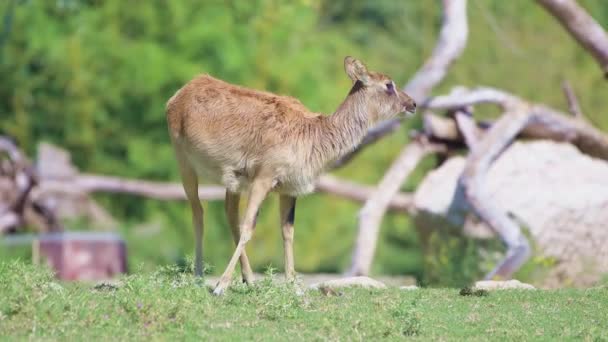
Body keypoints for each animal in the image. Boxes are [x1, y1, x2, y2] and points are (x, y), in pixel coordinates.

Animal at [165, 56, 418, 294]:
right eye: (388, 84)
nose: (413, 103)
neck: (312, 141)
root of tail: (175, 97)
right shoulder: (264, 176)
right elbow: (249, 227)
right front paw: (221, 286)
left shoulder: (289, 187)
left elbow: (287, 232)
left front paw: (292, 284)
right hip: (183, 160)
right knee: (198, 212)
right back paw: (200, 276)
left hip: (233, 180)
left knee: (228, 213)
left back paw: (249, 279)